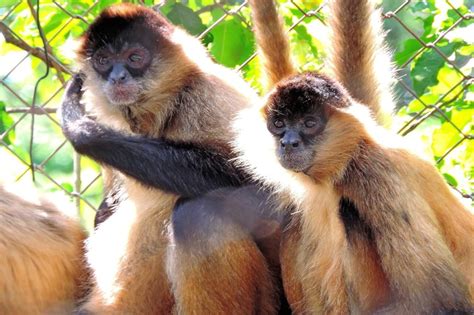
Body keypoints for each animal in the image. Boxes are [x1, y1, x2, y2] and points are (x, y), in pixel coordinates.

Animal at [234, 0, 474, 314]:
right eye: (279, 124)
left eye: (309, 123)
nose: (288, 142)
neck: (342, 166)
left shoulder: (375, 172)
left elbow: (445, 302)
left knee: (350, 214)